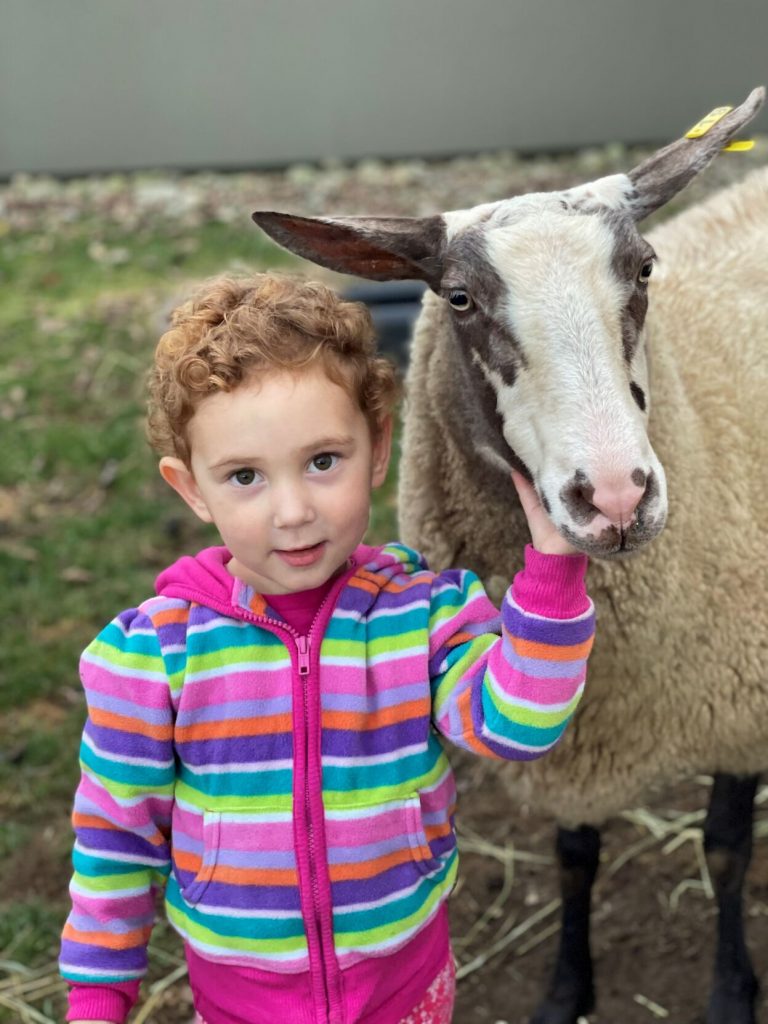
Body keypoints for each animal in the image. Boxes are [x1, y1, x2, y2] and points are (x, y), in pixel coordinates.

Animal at [249, 90, 765, 1024]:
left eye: (644, 270)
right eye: (458, 297)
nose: (617, 497)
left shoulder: (743, 705)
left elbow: (724, 849)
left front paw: (732, 991)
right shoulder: (574, 734)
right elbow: (573, 857)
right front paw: (566, 991)